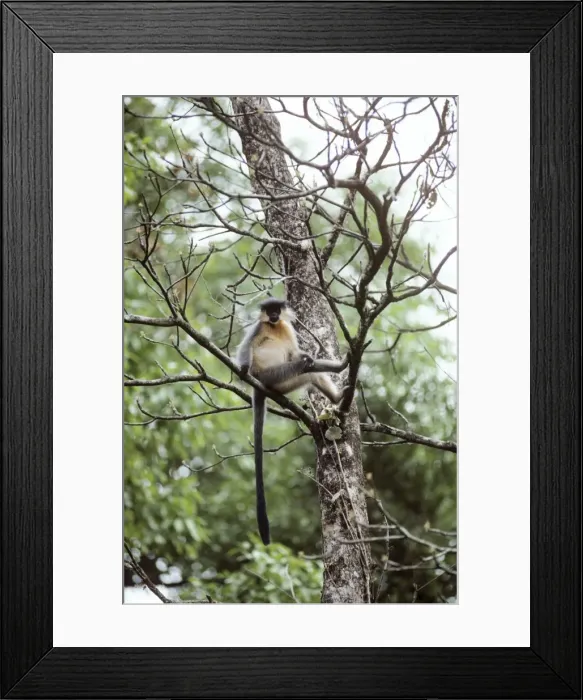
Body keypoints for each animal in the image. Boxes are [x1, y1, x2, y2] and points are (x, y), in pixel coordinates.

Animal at [236, 297, 347, 545]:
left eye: (277, 310)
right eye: (270, 311)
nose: (274, 315)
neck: (275, 326)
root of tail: (260, 385)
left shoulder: (286, 328)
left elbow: (296, 353)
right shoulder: (258, 328)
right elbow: (245, 348)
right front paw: (242, 369)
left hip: (283, 383)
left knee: (309, 368)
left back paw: (338, 385)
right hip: (272, 376)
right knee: (302, 368)